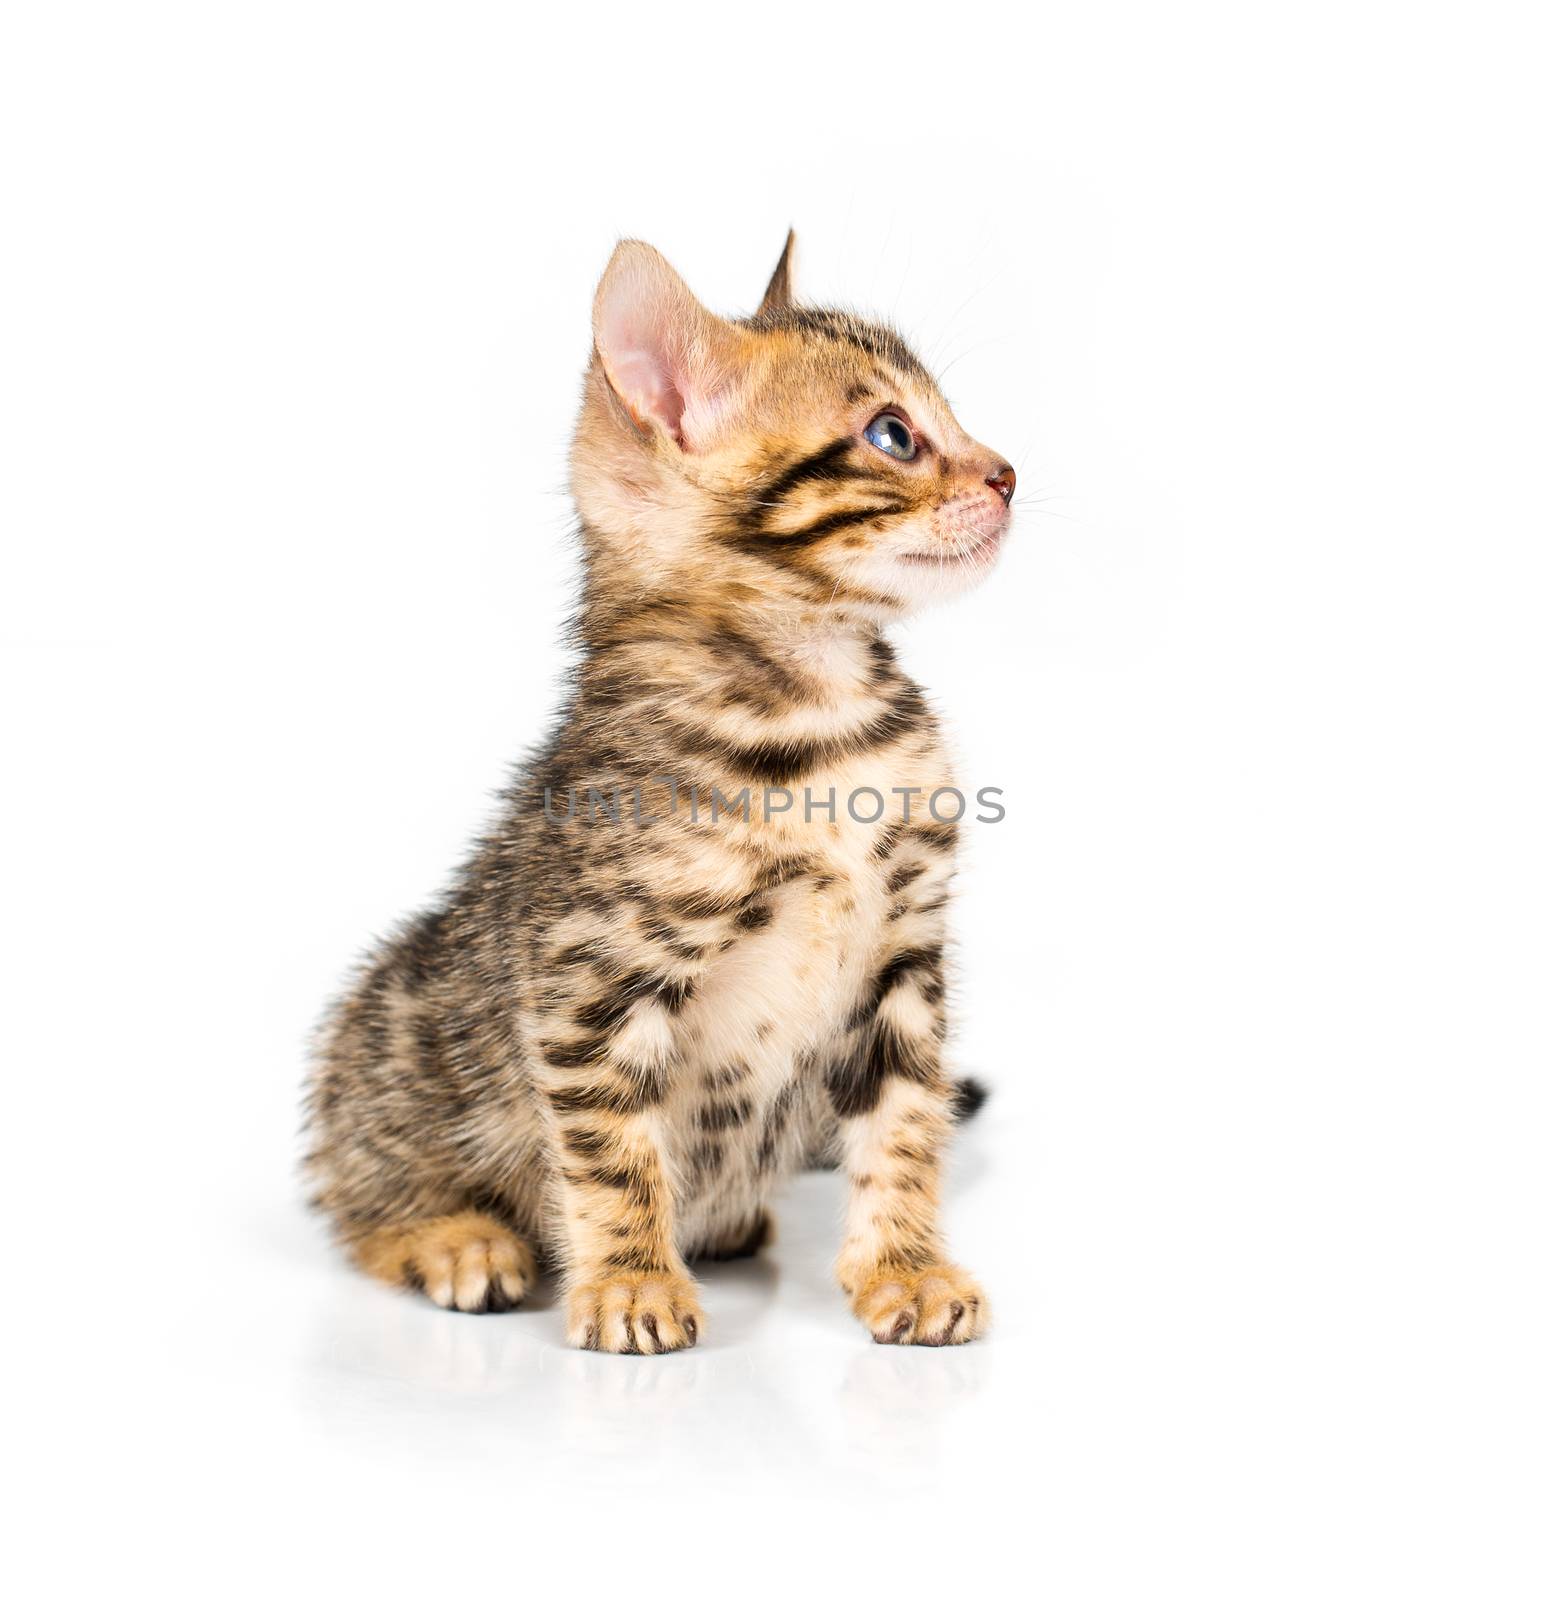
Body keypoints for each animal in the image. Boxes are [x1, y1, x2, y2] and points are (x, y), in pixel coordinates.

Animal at [307, 232, 1017, 1344]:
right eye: (893, 434)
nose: (1009, 473)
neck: (815, 718)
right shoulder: (590, 973)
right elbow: (612, 1147)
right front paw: (632, 1281)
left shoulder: (903, 959)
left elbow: (906, 1122)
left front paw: (906, 1267)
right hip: (387, 1036)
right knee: (361, 1187)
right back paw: (453, 1238)